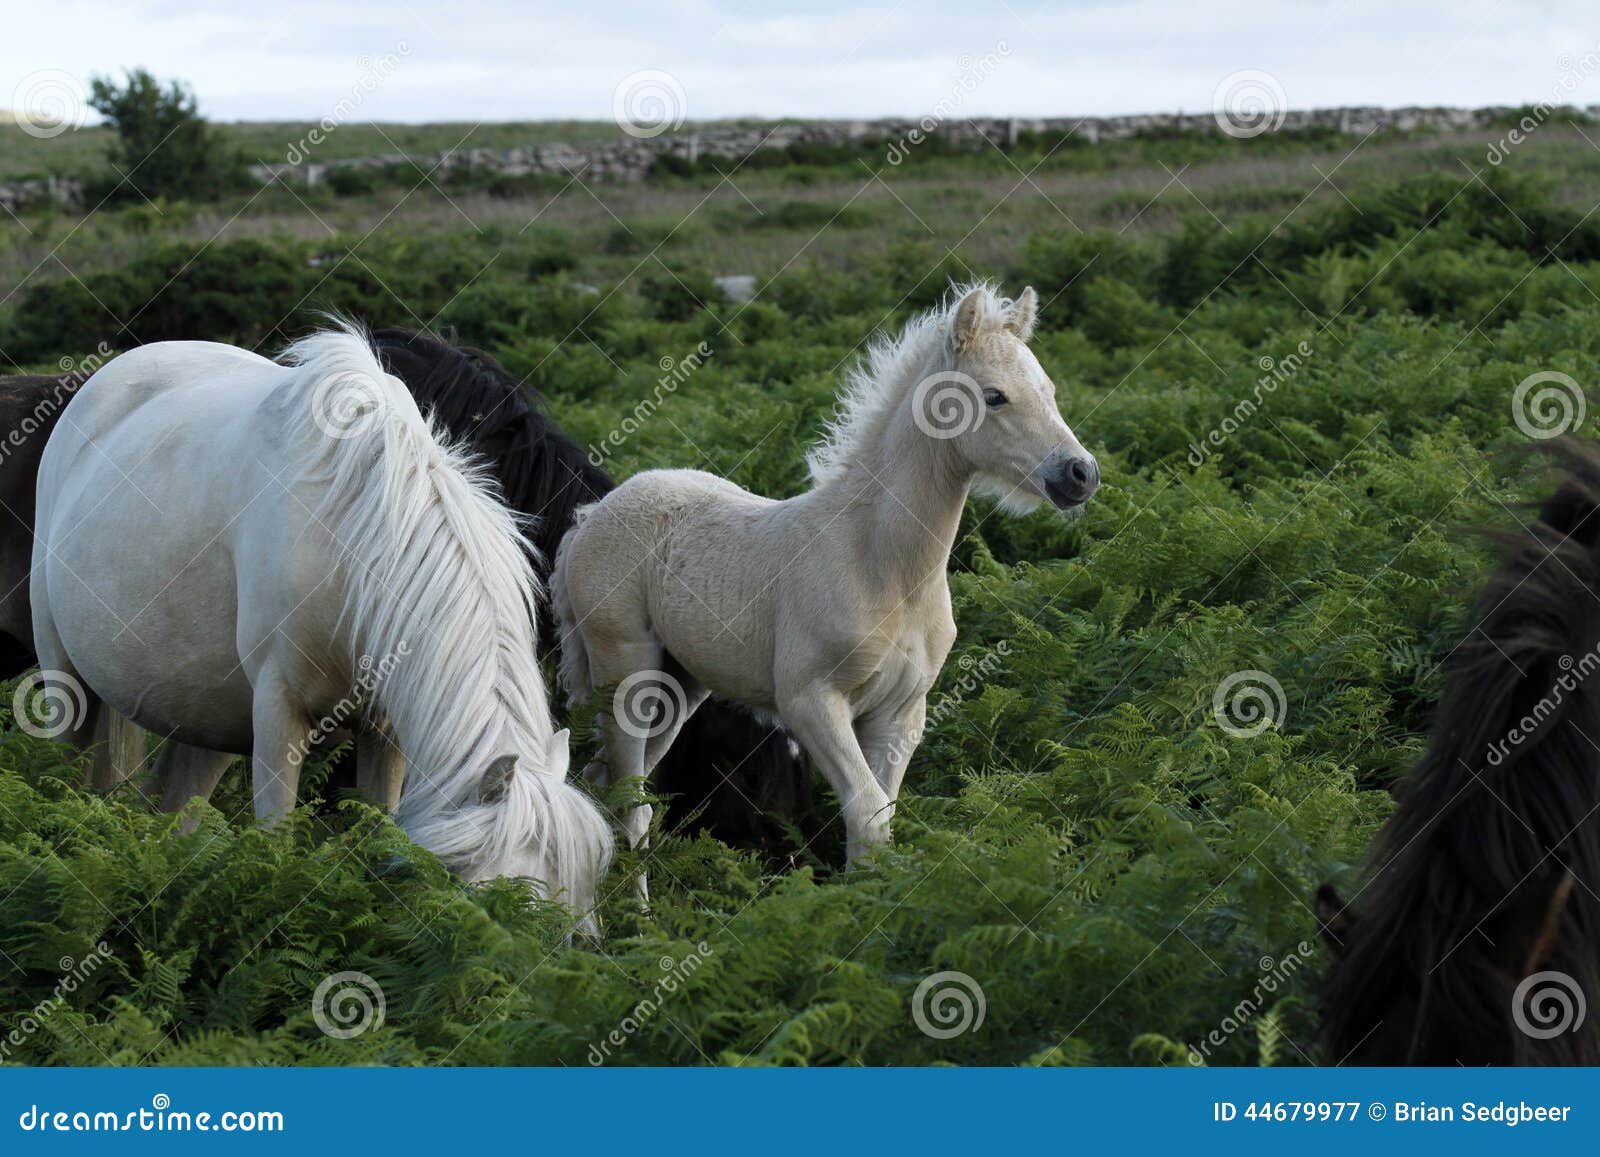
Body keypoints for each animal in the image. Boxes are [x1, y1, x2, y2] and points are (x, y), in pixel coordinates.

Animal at [39, 323, 611, 915]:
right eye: (489, 903)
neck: (355, 538)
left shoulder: (385, 731)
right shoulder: (278, 712)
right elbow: (275, 841)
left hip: (202, 712)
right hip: (66, 680)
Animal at [553, 284, 1100, 883]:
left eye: (1049, 389)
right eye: (995, 396)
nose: (1080, 474)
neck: (885, 569)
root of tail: (589, 518)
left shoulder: (901, 714)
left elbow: (881, 817)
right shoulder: (810, 700)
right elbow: (866, 815)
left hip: (680, 686)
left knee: (605, 786)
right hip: (627, 677)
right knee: (631, 804)